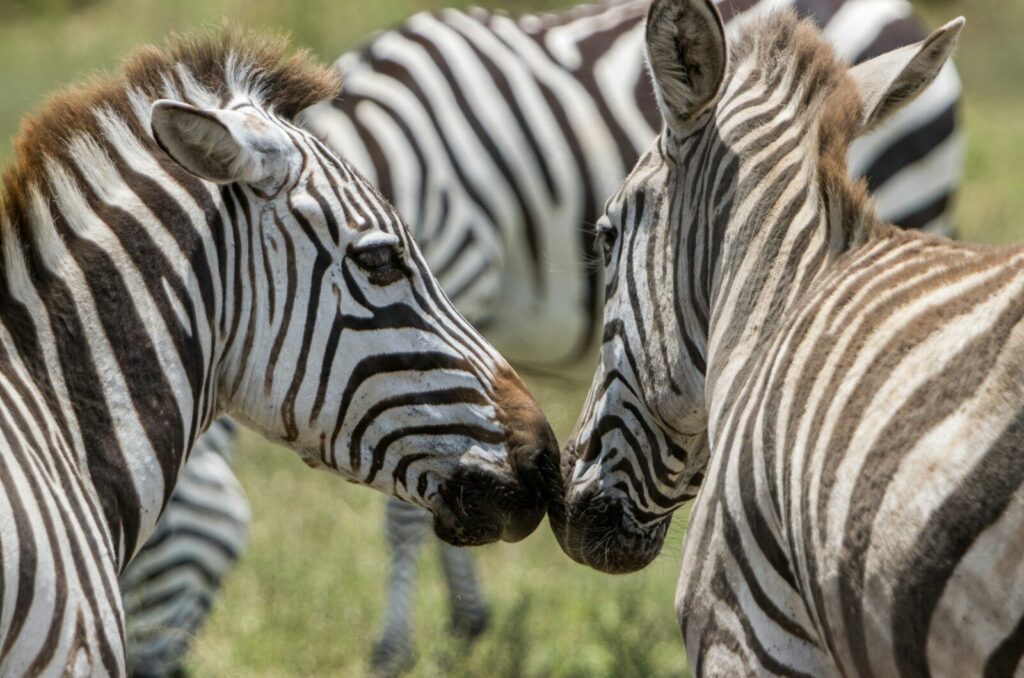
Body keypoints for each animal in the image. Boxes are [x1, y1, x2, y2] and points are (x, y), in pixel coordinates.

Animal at [118, 0, 967, 673]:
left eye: (147, 541)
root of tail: (896, 11)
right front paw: (467, 625)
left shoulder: (459, 278)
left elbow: (409, 502)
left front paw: (395, 649)